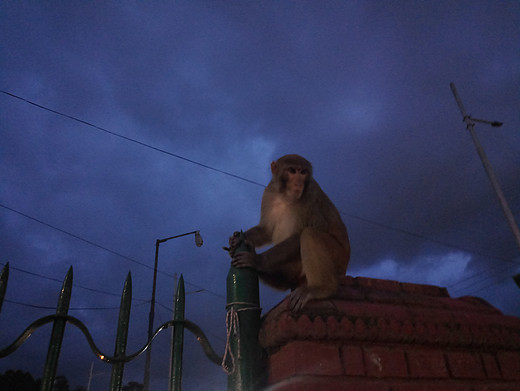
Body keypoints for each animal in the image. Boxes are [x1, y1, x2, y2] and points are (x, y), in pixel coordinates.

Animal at [228, 155, 350, 310]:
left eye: (303, 172)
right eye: (292, 171)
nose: (298, 182)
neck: (284, 195)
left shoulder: (310, 195)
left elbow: (300, 234)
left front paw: (258, 260)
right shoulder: (269, 193)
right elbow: (266, 230)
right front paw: (237, 240)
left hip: (339, 258)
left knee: (310, 234)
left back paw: (322, 288)